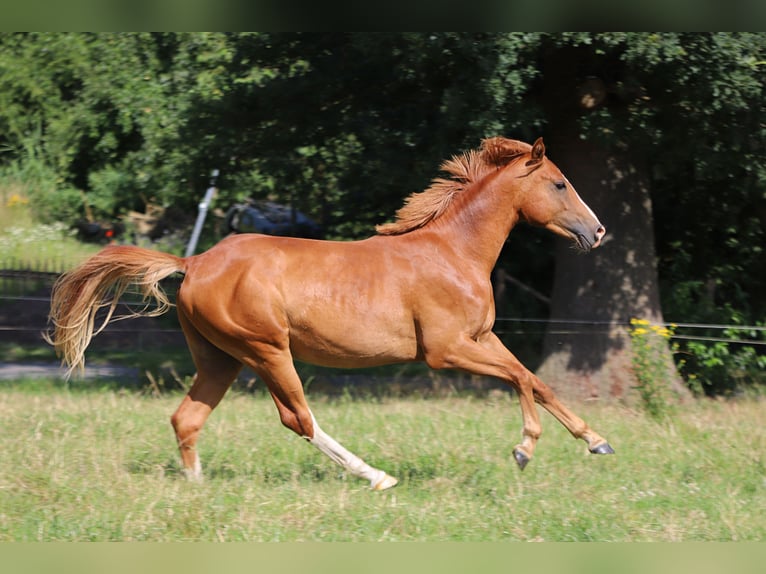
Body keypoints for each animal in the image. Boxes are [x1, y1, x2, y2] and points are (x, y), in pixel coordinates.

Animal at [46, 136, 612, 490]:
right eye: (559, 183)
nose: (599, 230)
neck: (452, 253)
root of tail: (195, 262)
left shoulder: (481, 338)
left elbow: (536, 379)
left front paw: (597, 441)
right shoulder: (445, 350)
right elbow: (519, 379)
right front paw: (524, 449)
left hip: (219, 358)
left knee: (187, 418)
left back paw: (197, 485)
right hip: (267, 350)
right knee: (297, 418)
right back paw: (377, 476)